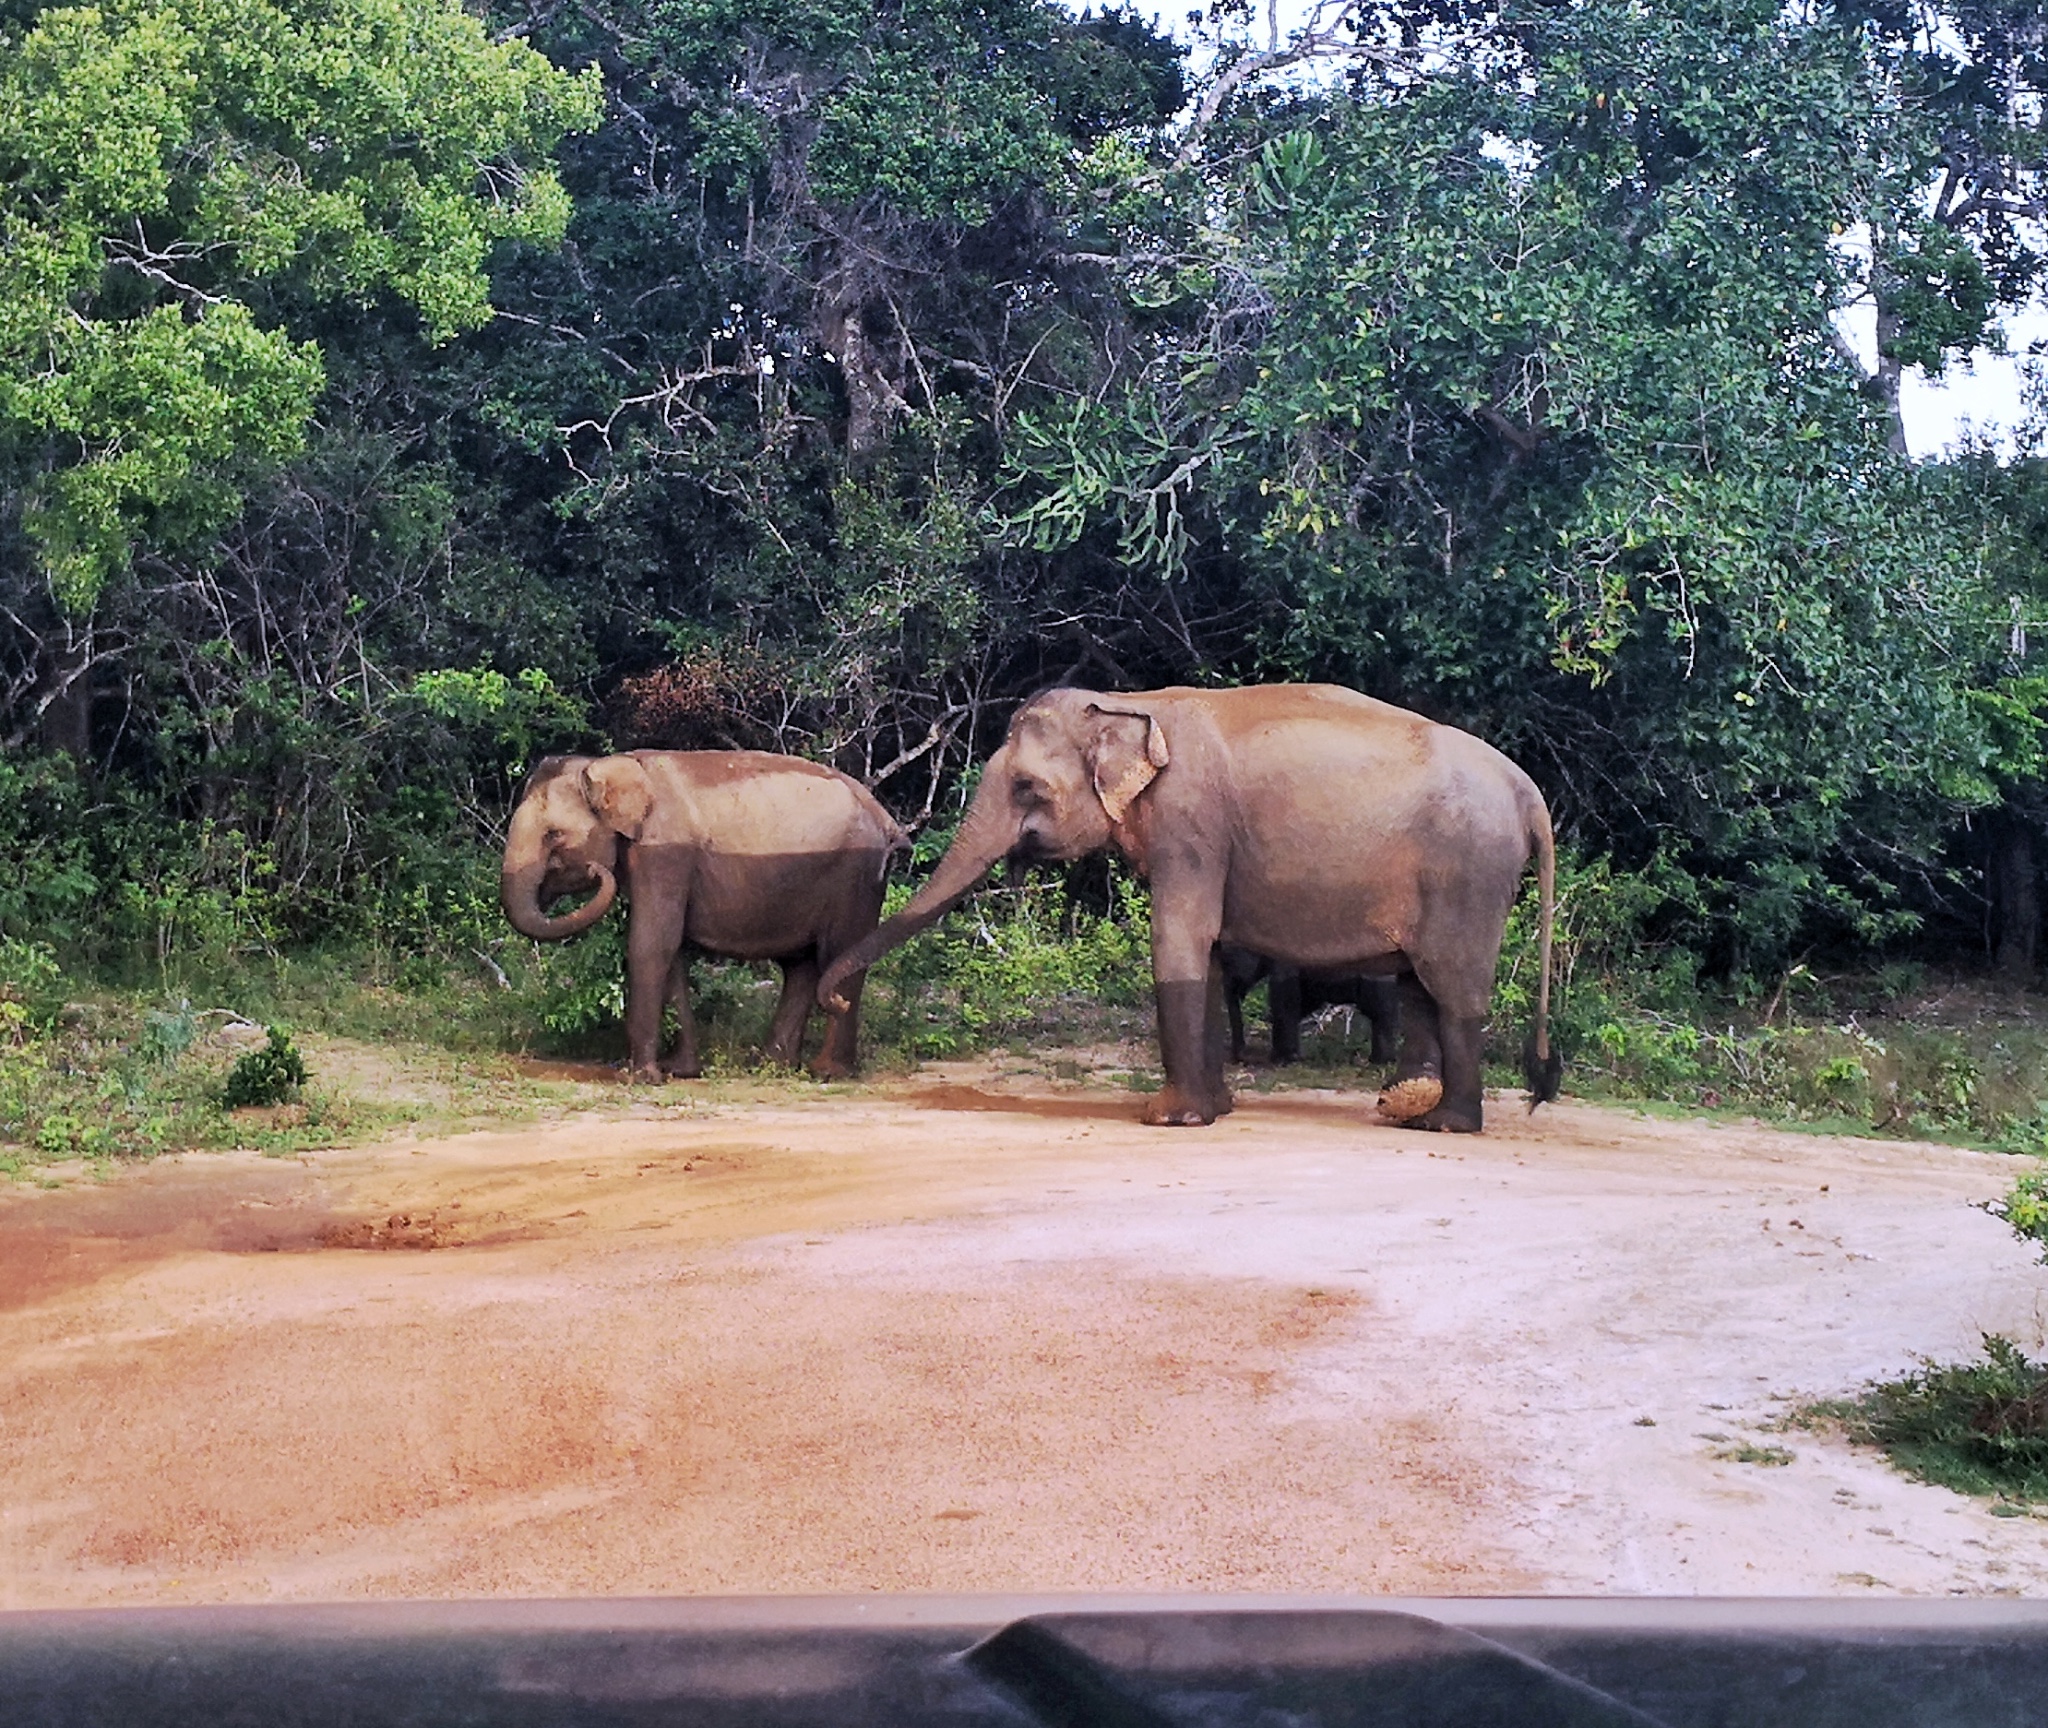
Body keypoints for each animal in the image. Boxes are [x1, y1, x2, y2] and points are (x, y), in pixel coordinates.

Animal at [501, 745, 905, 1072]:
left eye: (553, 835)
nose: (595, 871)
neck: (610, 765)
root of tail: (885, 818)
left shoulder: (666, 851)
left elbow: (651, 943)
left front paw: (640, 1076)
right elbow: (672, 949)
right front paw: (679, 1071)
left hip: (857, 875)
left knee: (840, 954)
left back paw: (828, 1072)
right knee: (801, 966)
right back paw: (773, 1066)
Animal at [815, 687, 1548, 1130]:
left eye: (1026, 788)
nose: (836, 999)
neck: (1131, 705)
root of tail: (1527, 789)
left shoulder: (1190, 822)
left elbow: (1178, 942)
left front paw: (1167, 1117)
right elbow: (1212, 954)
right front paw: (1216, 1109)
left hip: (1469, 873)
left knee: (1454, 988)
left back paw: (1449, 1123)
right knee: (1422, 983)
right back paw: (1412, 1109)